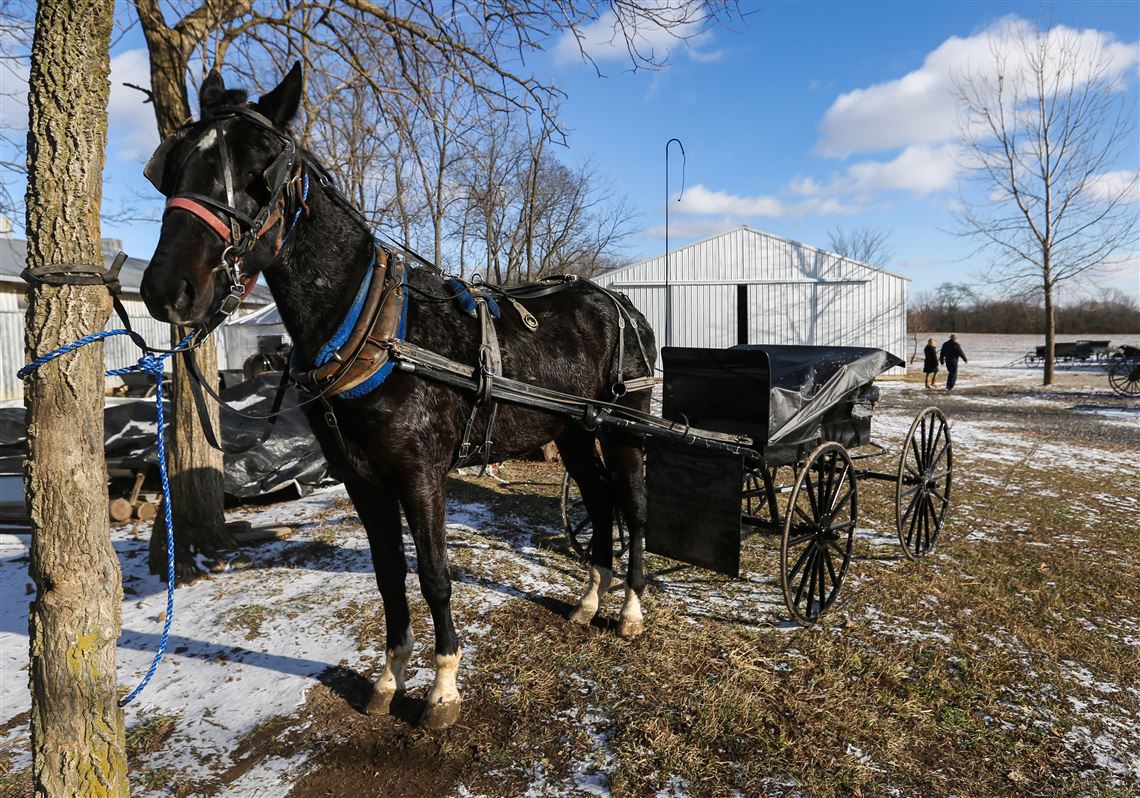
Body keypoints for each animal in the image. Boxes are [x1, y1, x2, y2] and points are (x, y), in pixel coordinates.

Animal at [140, 66, 661, 729]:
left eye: (260, 169)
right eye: (173, 165)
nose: (165, 289)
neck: (375, 331)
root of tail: (616, 302)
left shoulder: (420, 475)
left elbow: (435, 575)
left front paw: (443, 690)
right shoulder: (363, 480)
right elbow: (389, 578)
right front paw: (389, 681)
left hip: (625, 426)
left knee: (633, 506)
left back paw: (630, 611)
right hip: (569, 430)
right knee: (598, 499)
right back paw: (590, 601)